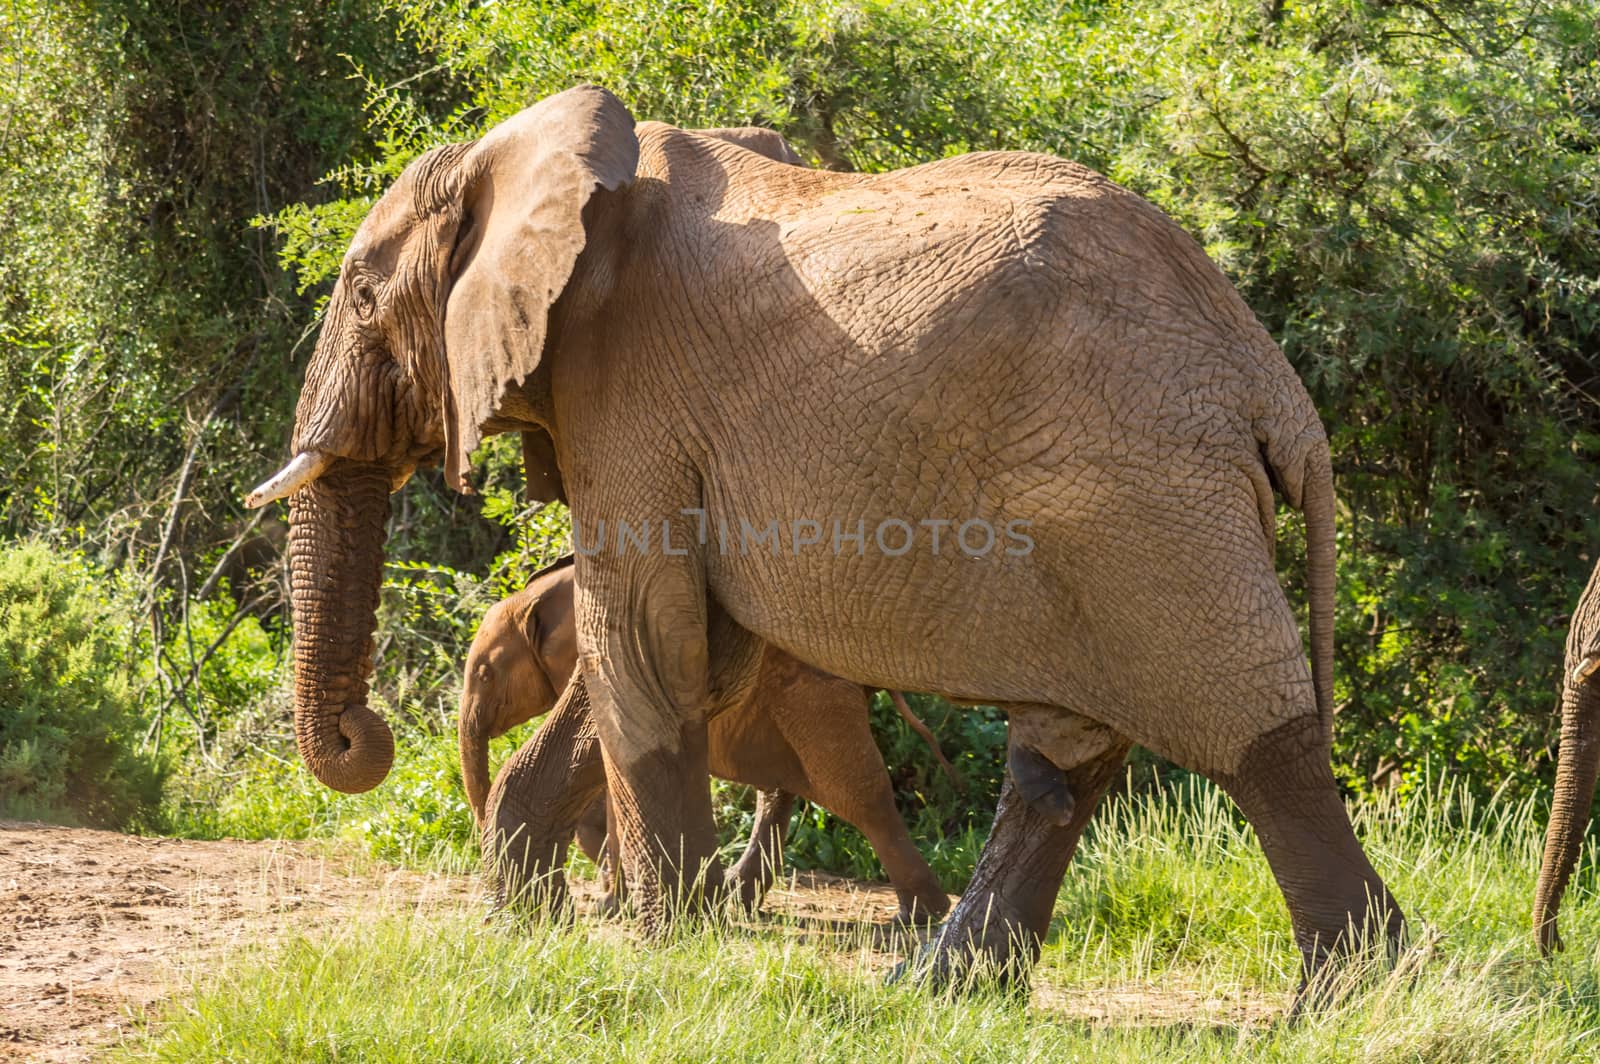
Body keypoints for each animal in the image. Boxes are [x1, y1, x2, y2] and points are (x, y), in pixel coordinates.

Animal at [457, 556, 947, 921]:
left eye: (485, 673)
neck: (535, 596)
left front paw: (611, 904)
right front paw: (616, 895)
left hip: (815, 695)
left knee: (857, 795)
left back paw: (918, 917)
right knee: (778, 791)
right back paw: (735, 901)